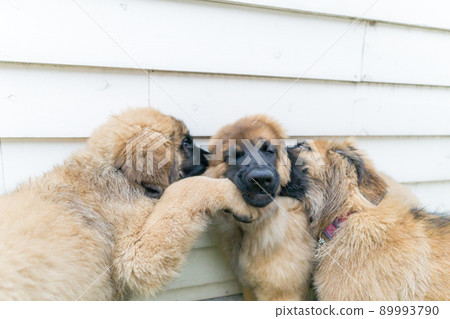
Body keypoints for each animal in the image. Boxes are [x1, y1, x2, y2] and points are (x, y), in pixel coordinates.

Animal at [0, 109, 255, 302]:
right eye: (185, 143)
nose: (211, 158)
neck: (118, 173)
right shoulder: (136, 257)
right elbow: (188, 188)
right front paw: (235, 197)